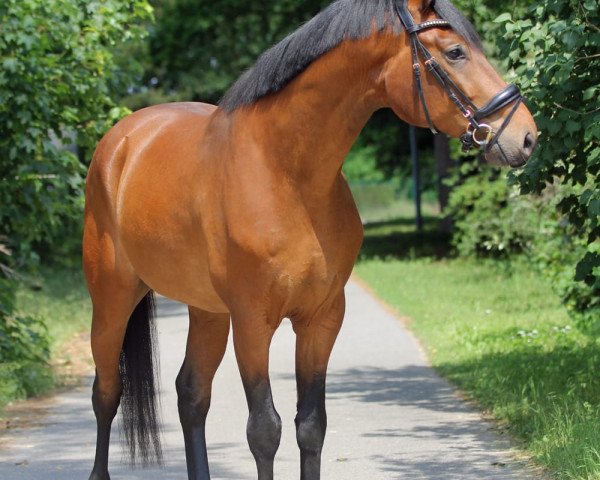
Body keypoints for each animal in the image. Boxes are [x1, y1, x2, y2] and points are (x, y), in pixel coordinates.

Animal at [82, 0, 536, 480]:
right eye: (454, 53)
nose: (526, 136)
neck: (285, 172)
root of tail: (121, 141)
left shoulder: (322, 317)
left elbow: (311, 425)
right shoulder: (252, 323)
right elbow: (264, 430)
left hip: (207, 311)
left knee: (191, 394)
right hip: (113, 300)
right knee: (107, 392)